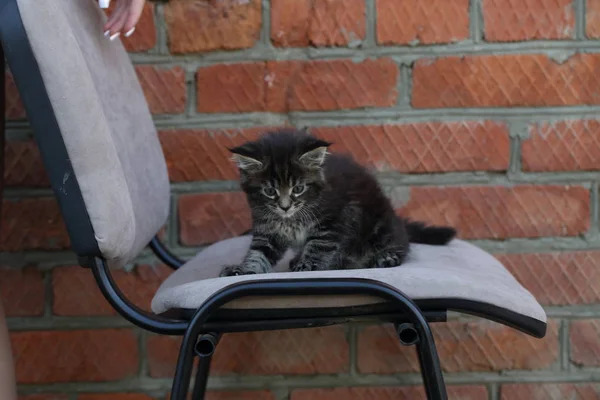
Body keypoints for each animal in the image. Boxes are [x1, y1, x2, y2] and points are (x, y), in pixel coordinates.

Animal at [219, 129, 454, 278]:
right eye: (270, 191)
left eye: (298, 188)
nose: (285, 206)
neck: (292, 218)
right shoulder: (267, 230)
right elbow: (258, 254)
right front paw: (244, 269)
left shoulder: (332, 221)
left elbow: (318, 246)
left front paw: (308, 264)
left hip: (379, 225)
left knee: (400, 244)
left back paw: (387, 257)